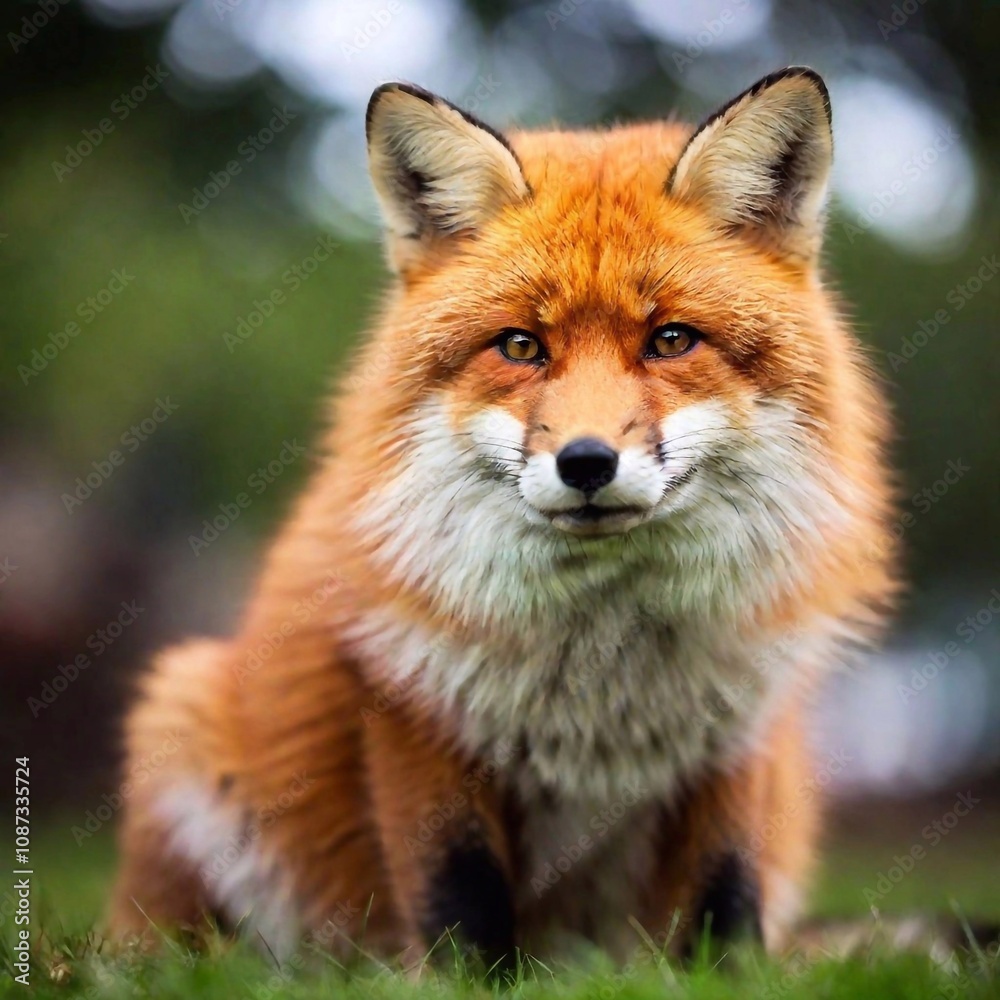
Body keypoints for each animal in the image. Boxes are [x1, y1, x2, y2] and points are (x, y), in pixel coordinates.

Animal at [109, 67, 897, 969]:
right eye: (521, 347)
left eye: (670, 339)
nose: (586, 462)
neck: (604, 670)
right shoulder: (411, 706)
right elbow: (459, 899)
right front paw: (465, 982)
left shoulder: (739, 729)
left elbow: (723, 899)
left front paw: (729, 978)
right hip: (181, 717)